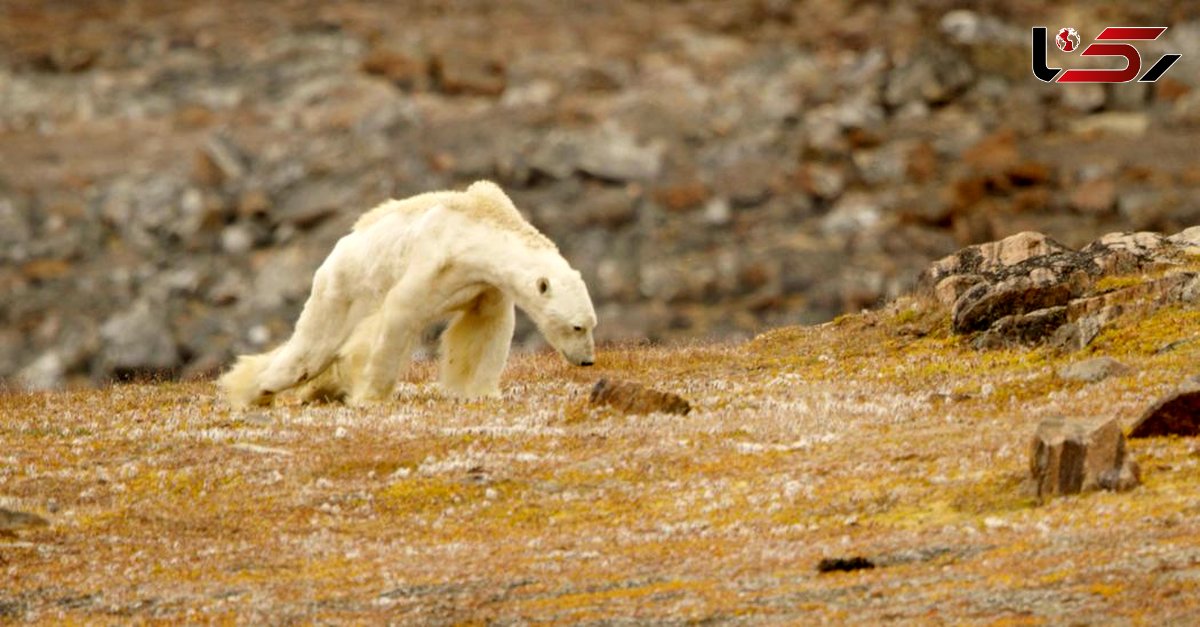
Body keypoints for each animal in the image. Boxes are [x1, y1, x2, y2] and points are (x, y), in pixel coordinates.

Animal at [218, 180, 597, 405]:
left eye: (592, 324)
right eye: (577, 326)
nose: (587, 360)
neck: (478, 229)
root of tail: (334, 252)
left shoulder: (484, 284)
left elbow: (485, 329)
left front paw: (482, 392)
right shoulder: (433, 260)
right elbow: (399, 316)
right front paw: (370, 395)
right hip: (342, 289)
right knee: (309, 352)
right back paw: (254, 391)